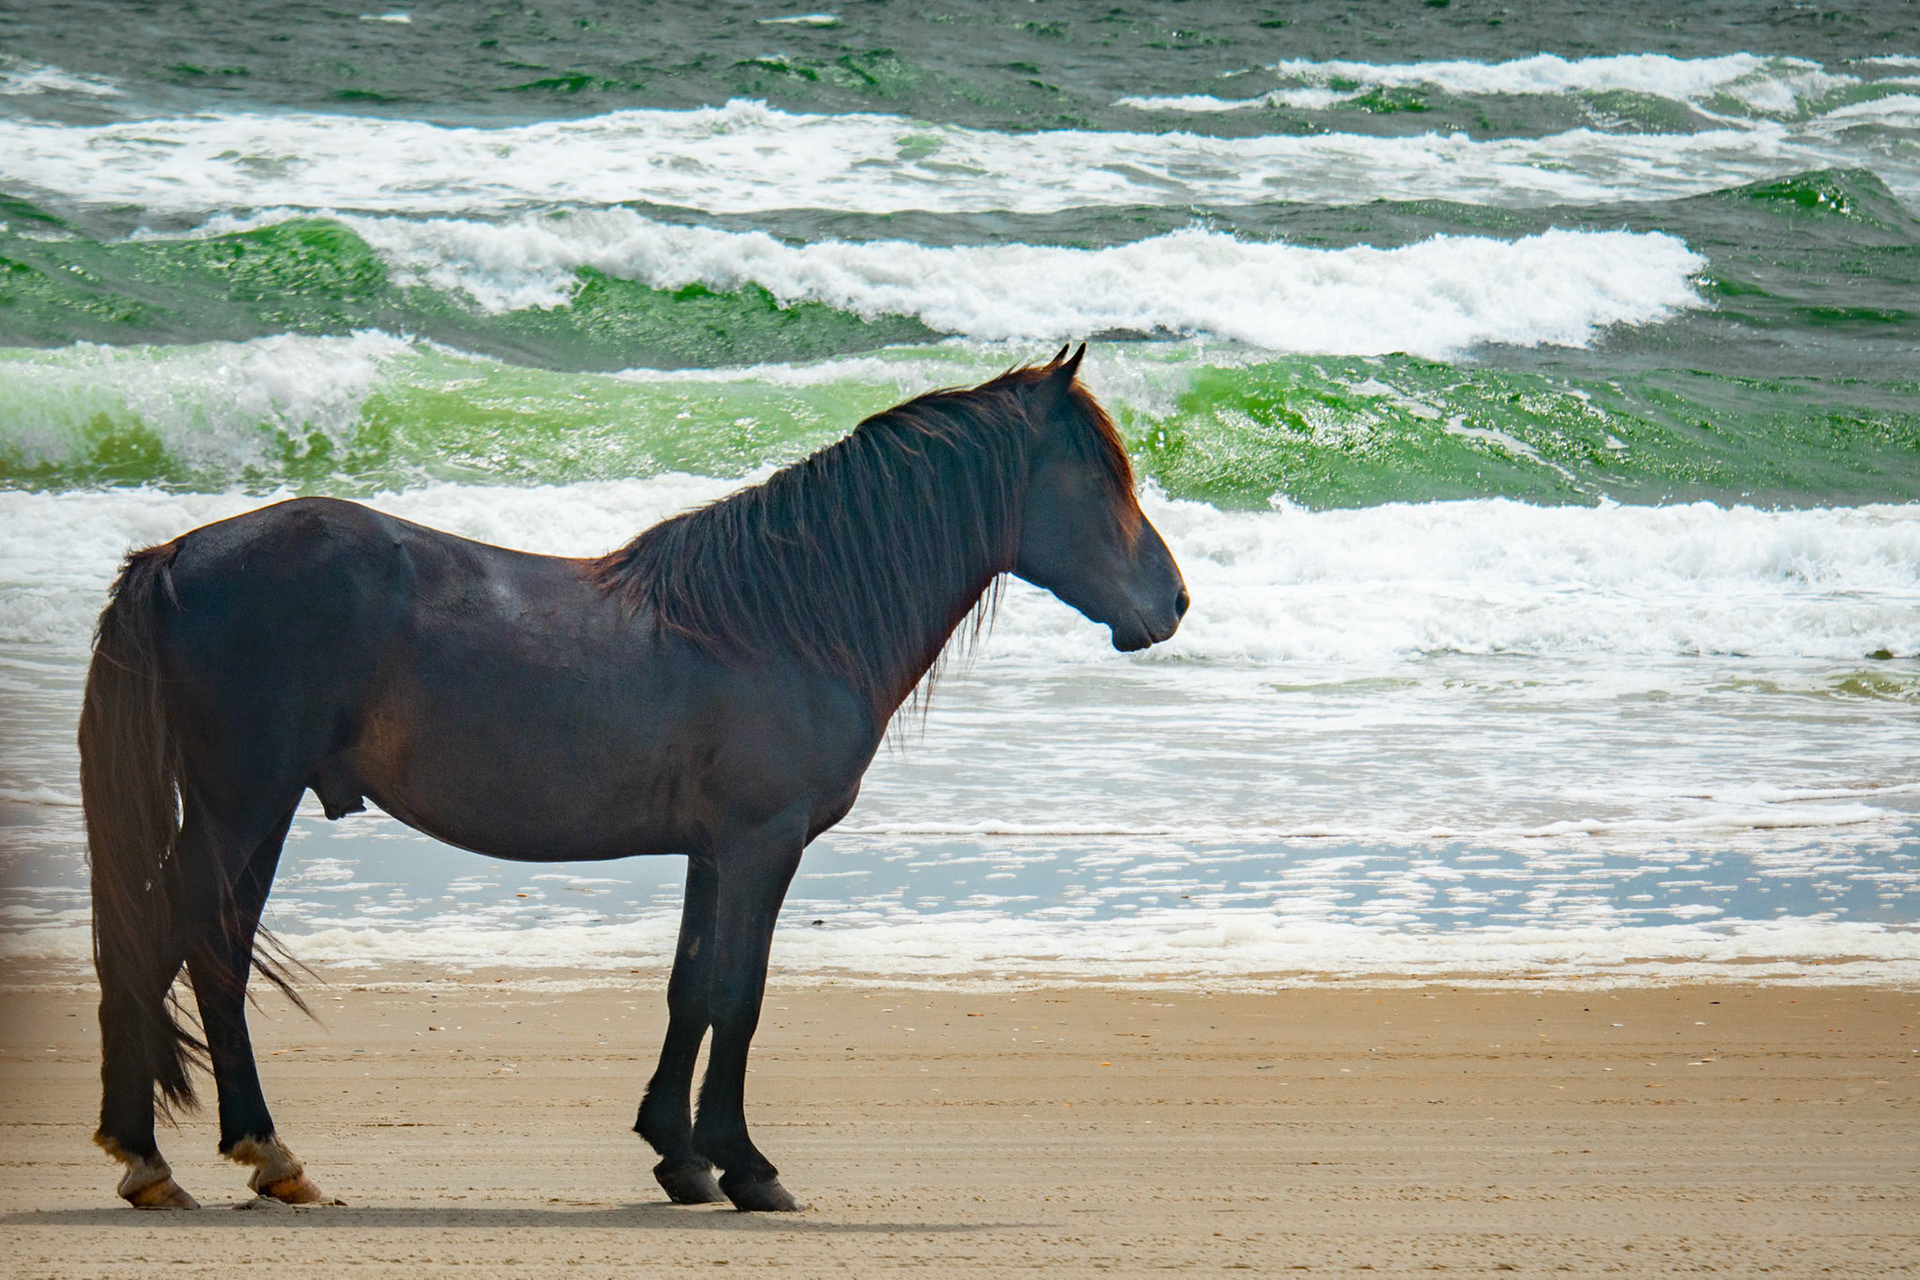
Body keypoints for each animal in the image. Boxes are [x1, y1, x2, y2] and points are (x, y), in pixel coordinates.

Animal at [79, 344, 1188, 1213]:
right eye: (1105, 478)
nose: (1173, 602)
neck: (783, 618)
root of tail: (175, 554)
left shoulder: (713, 850)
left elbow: (689, 986)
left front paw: (678, 1154)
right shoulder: (761, 843)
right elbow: (740, 990)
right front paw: (745, 1164)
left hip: (257, 812)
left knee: (215, 956)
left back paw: (266, 1155)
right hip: (240, 803)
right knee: (163, 942)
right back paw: (146, 1157)